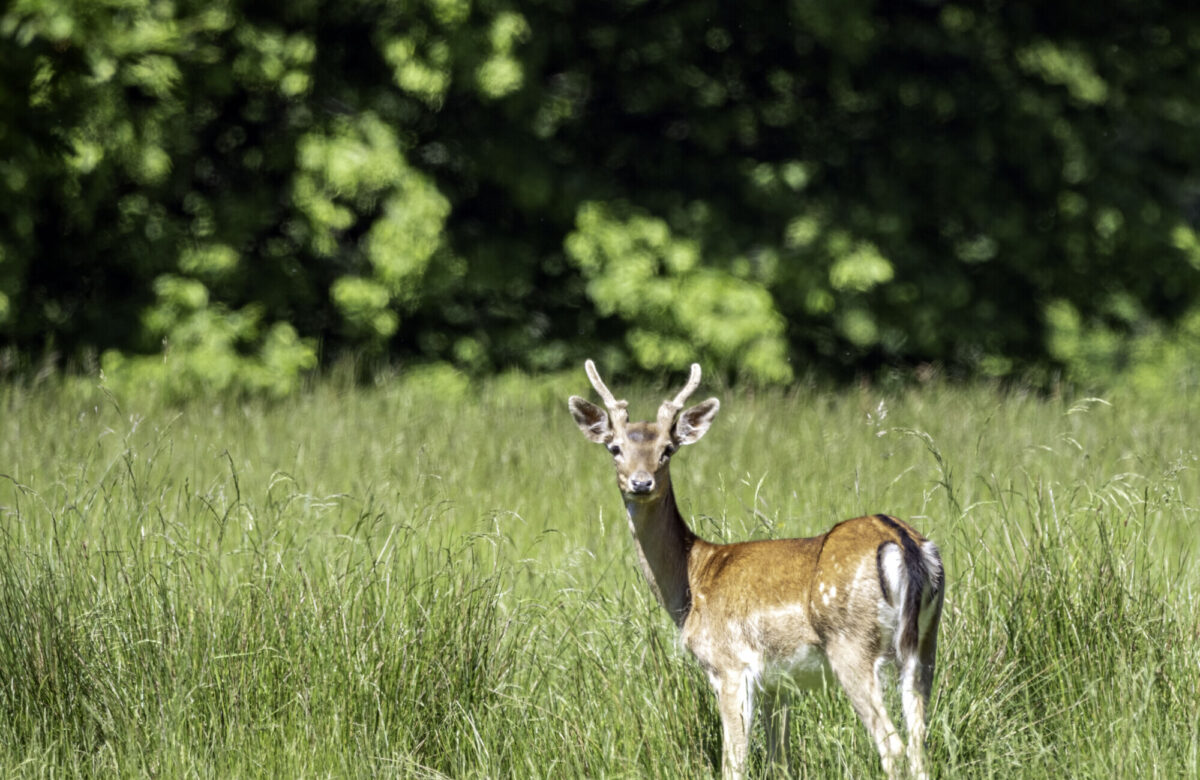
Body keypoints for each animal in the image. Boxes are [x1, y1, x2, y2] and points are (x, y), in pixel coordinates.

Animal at [568, 360, 944, 780]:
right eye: (615, 447)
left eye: (667, 449)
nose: (641, 482)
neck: (691, 581)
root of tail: (904, 542)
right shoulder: (777, 683)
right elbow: (780, 761)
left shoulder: (730, 666)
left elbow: (733, 763)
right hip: (924, 644)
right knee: (919, 743)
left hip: (852, 644)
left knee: (893, 746)